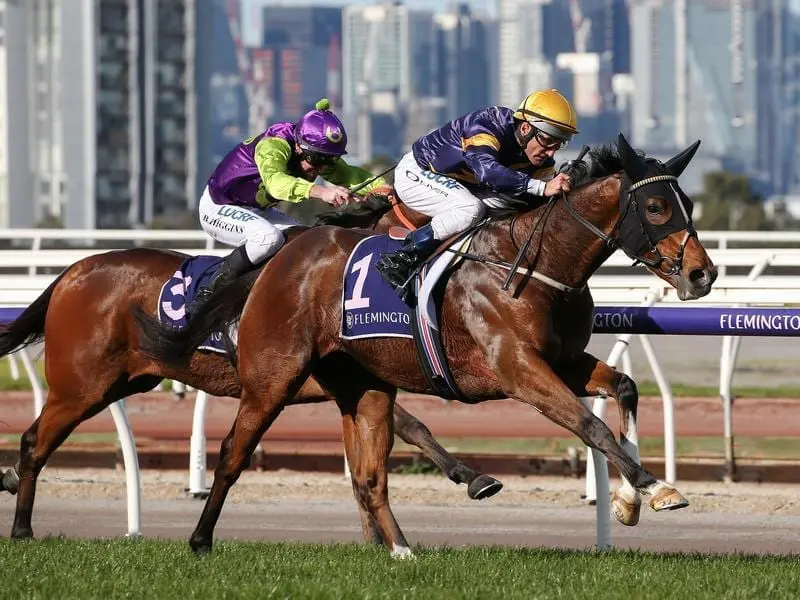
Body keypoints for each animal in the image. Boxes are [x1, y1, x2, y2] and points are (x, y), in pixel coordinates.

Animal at [0, 186, 500, 540]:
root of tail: (71, 272)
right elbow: (410, 426)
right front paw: (471, 478)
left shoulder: (340, 381)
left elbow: (400, 434)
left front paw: (464, 481)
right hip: (81, 385)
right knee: (34, 439)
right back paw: (22, 526)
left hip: (121, 382)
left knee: (39, 438)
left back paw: (11, 483)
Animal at [136, 134, 720, 556]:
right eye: (655, 206)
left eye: (688, 201)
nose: (703, 274)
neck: (535, 264)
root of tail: (284, 253)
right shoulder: (518, 369)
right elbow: (590, 426)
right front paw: (654, 486)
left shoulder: (564, 360)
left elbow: (624, 388)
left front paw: (632, 499)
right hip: (274, 375)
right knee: (233, 451)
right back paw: (200, 539)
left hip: (358, 380)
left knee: (369, 472)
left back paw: (398, 549)